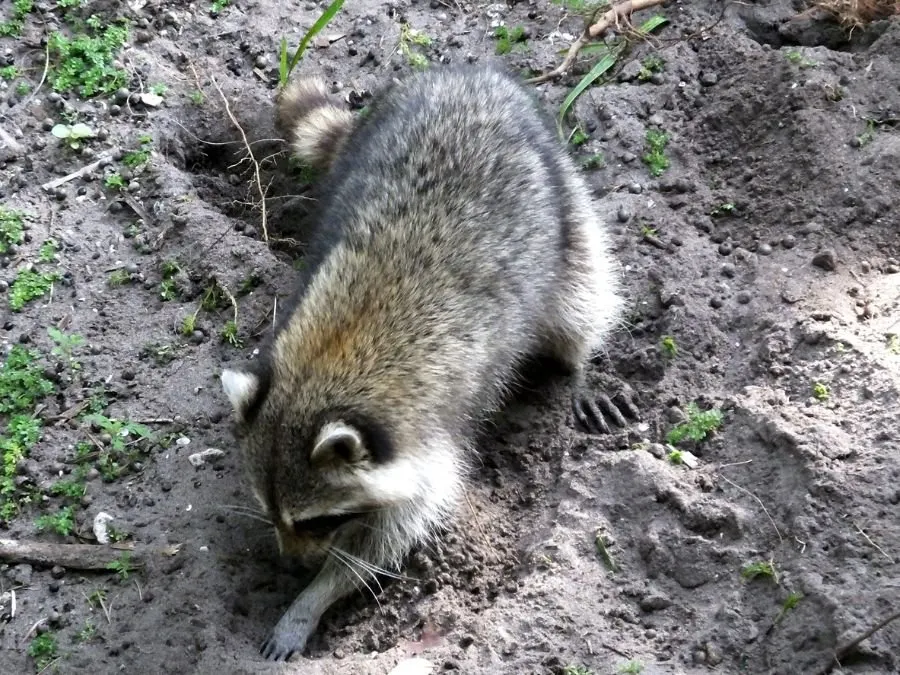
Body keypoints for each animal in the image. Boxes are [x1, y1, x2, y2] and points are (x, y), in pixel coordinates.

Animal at [220, 64, 632, 661]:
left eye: (322, 519)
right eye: (271, 511)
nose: (292, 566)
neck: (326, 365)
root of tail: (468, 73)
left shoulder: (429, 443)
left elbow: (388, 538)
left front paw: (315, 597)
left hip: (565, 200)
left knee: (581, 296)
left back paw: (578, 363)